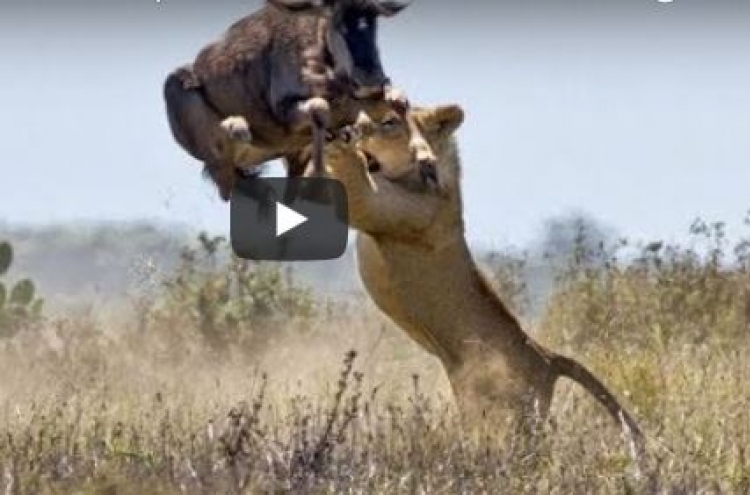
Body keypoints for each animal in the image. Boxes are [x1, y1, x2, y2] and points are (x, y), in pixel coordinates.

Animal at [322, 105, 648, 464]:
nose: (348, 125)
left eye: (389, 122)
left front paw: (335, 143)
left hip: (515, 415)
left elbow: (355, 185)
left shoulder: (387, 207)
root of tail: (547, 357)